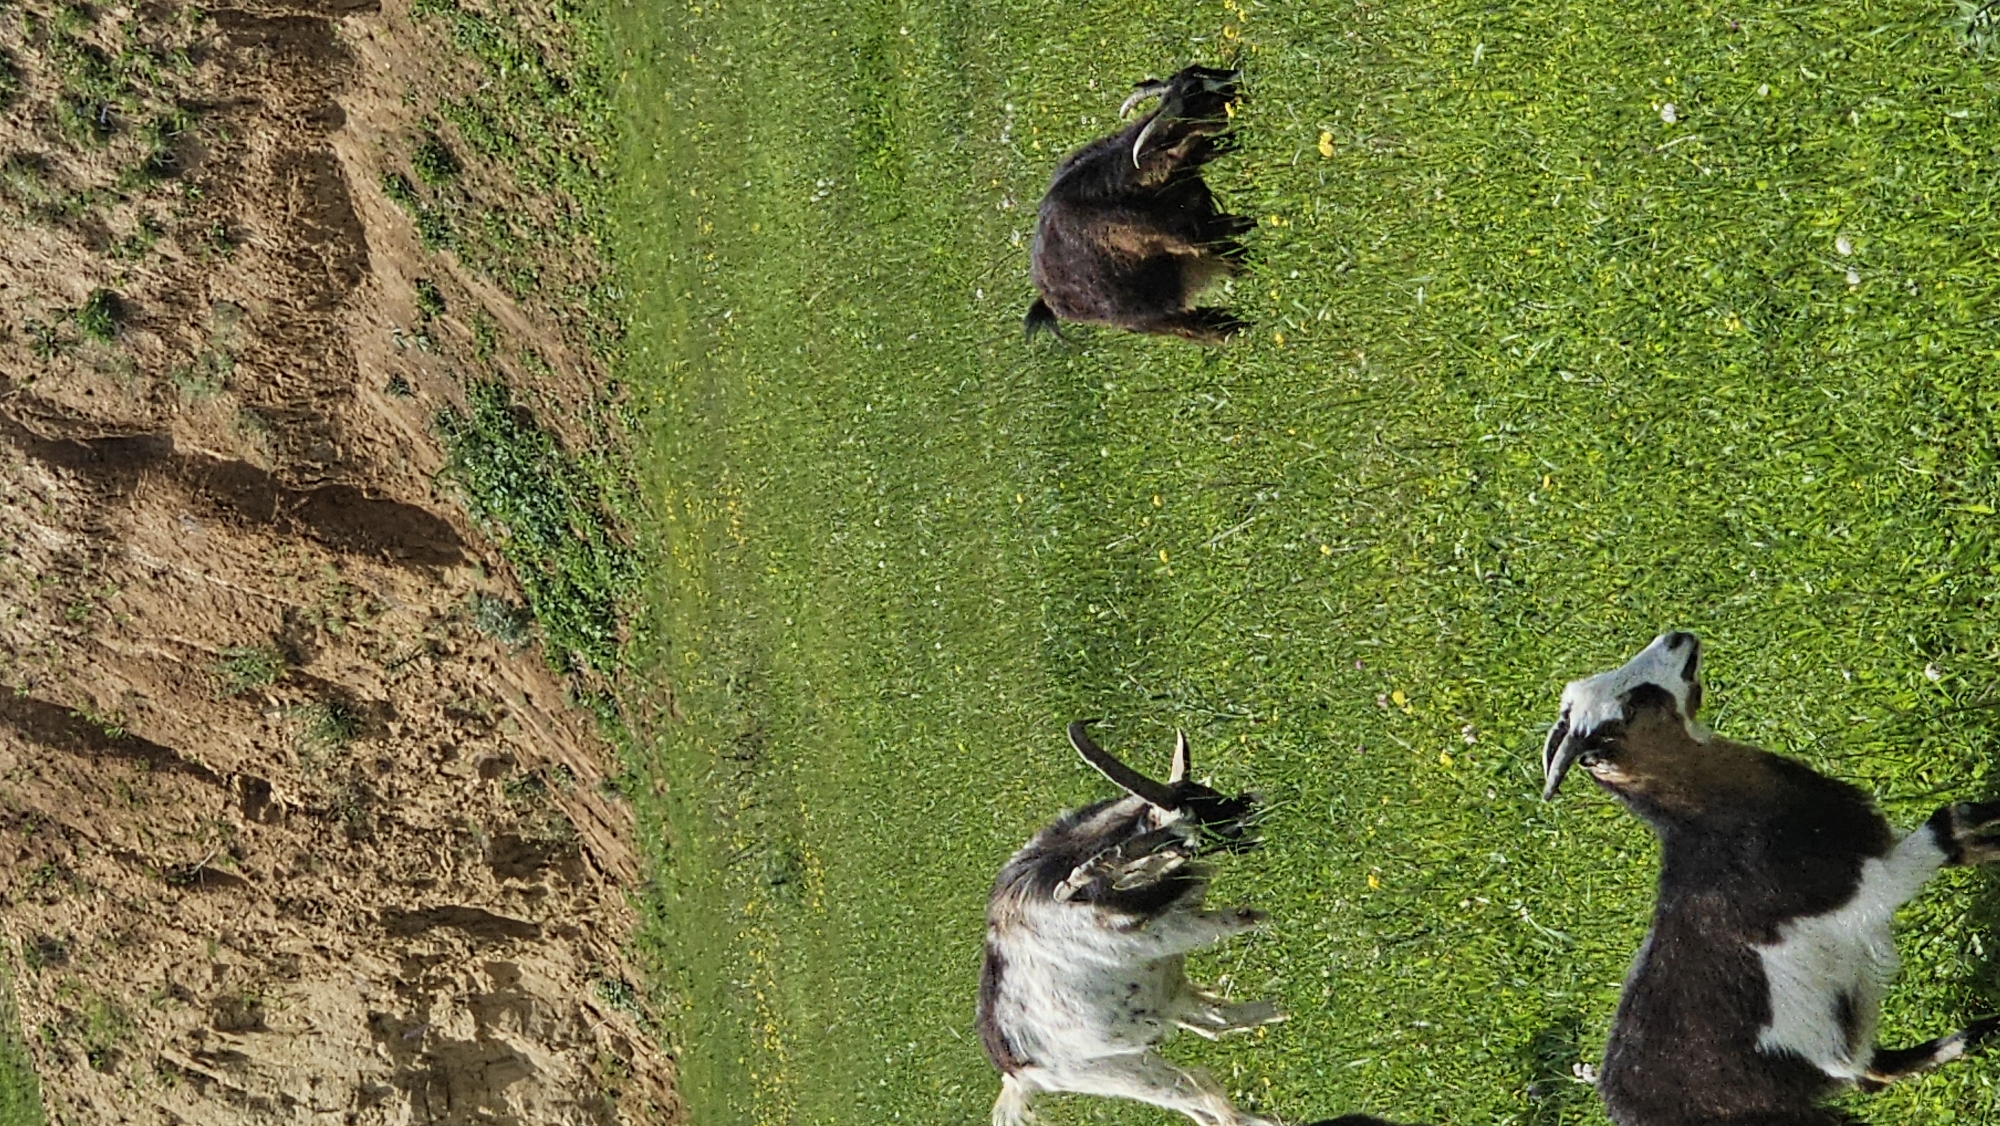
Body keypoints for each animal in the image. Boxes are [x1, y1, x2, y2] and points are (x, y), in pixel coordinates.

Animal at [978, 721, 1281, 1126]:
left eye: (1206, 792)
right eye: (1185, 840)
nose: (1253, 807)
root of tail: (1015, 1071)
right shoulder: (1174, 931)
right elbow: (1246, 919)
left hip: (1164, 999)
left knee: (1218, 1023)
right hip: (1122, 1070)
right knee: (1194, 1095)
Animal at [1026, 65, 1253, 344]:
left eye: (1197, 70)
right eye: (1192, 93)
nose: (1236, 80)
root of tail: (1048, 300)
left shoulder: (1201, 220)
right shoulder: (1187, 239)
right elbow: (1232, 255)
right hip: (1147, 317)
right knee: (1198, 328)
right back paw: (1238, 332)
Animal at [1542, 631, 2000, 1126]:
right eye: (1634, 701)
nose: (1677, 638)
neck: (1721, 825)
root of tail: (1624, 1107)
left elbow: (1965, 836)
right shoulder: (1871, 882)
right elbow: (1951, 824)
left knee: (1874, 1073)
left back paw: (1981, 1032)